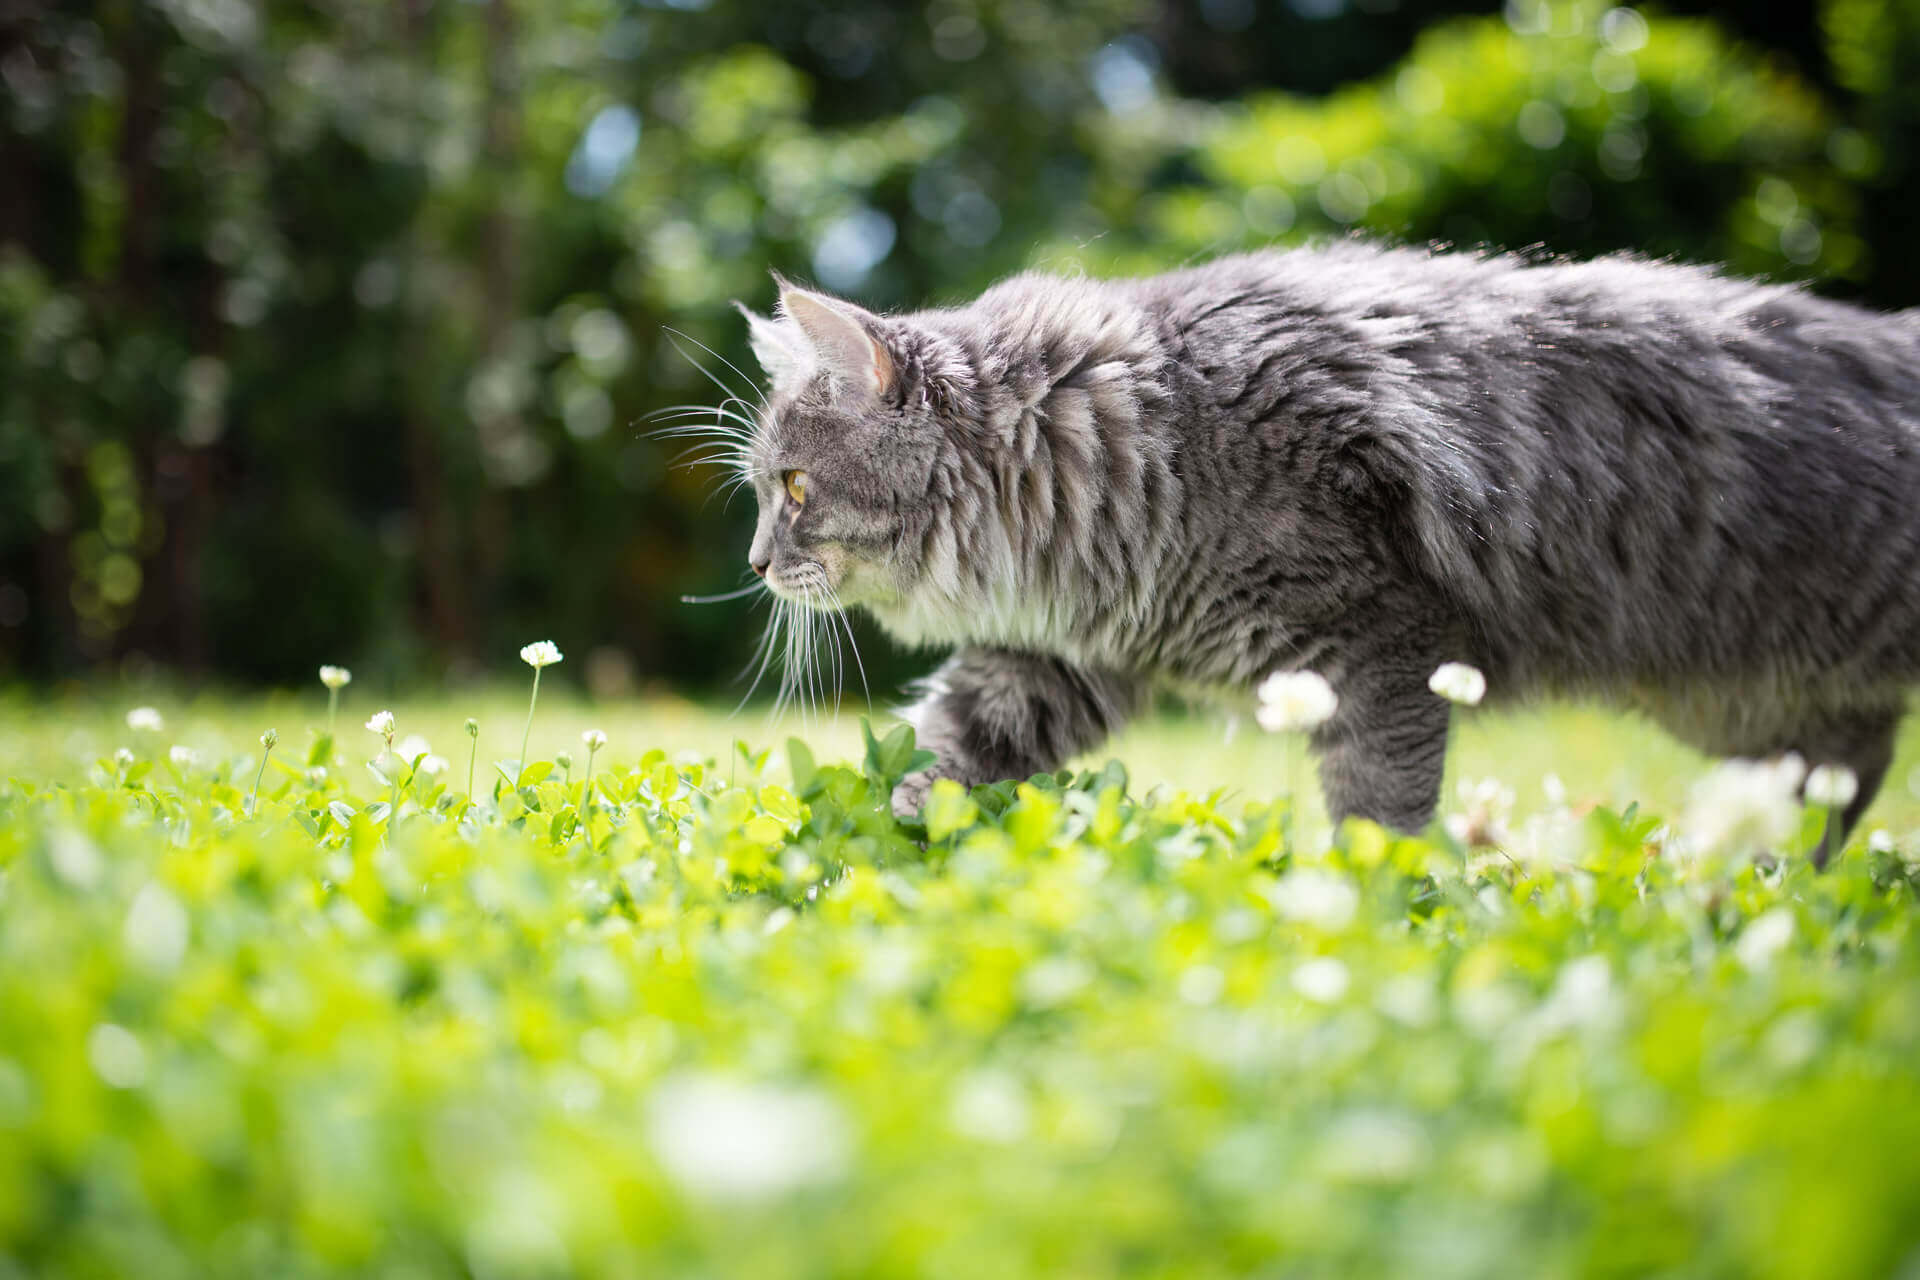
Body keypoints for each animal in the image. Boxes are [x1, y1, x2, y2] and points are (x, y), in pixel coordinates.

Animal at [725, 239, 1920, 859]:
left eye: (794, 490)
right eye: (761, 493)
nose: (753, 562)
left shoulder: (1381, 651)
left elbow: (1376, 810)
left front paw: (1363, 915)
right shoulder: (1056, 658)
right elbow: (947, 741)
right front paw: (885, 817)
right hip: (1754, 712)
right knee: (1836, 786)